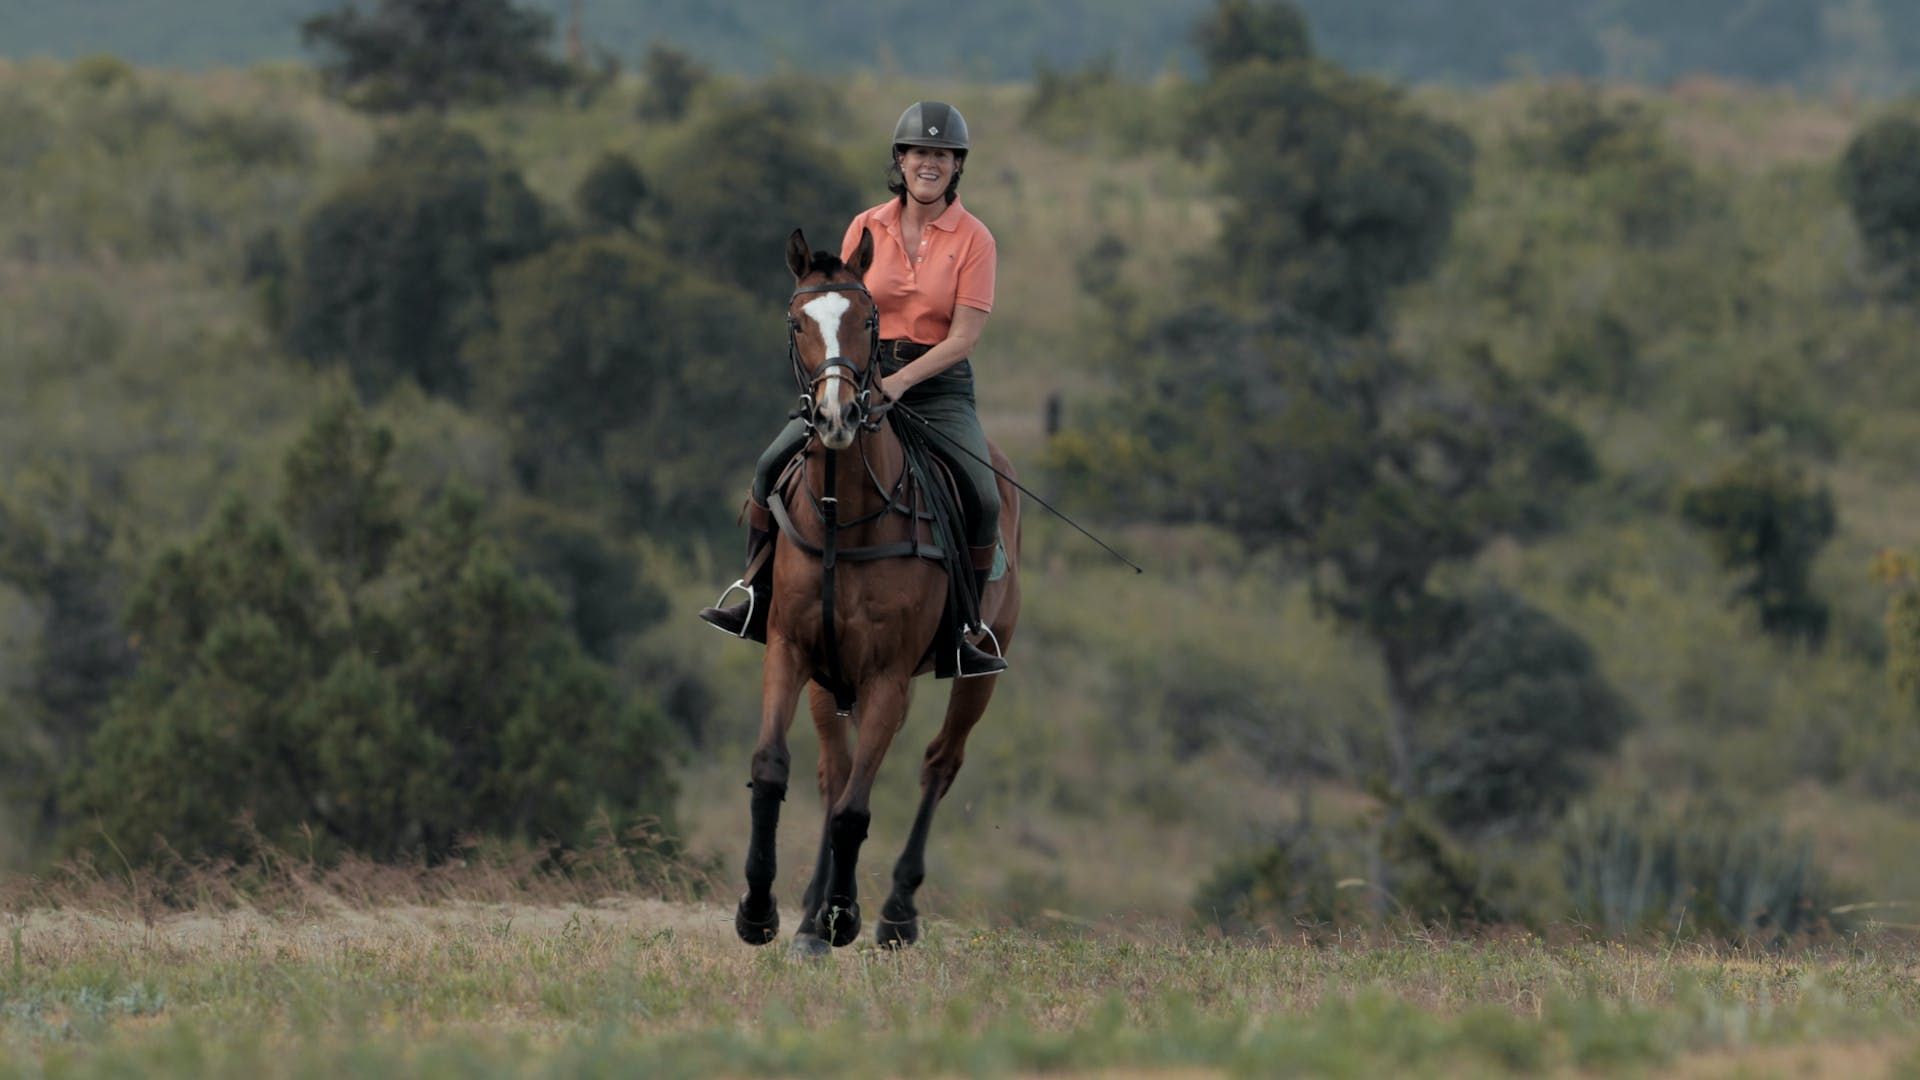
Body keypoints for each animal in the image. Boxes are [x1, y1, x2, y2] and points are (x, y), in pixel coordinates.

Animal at [733, 227, 1022, 955]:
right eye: (796, 321)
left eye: (869, 320)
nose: (836, 416)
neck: (845, 517)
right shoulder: (791, 649)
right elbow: (774, 769)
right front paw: (761, 912)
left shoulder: (889, 675)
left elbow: (857, 809)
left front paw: (844, 916)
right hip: (831, 680)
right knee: (835, 775)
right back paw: (811, 916)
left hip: (978, 673)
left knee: (939, 765)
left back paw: (893, 913)